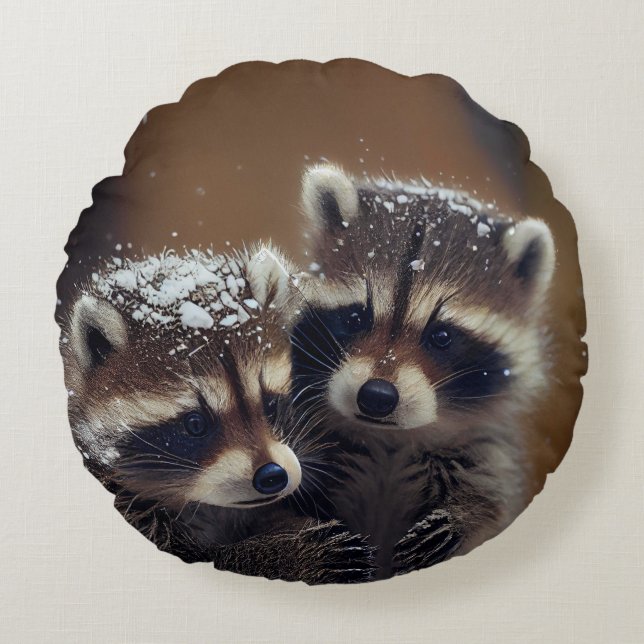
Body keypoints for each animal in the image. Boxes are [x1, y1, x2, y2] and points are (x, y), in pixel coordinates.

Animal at [291, 164, 556, 578]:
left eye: (442, 336)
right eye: (355, 318)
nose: (376, 396)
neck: (390, 442)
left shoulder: (486, 454)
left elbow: (490, 501)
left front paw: (464, 516)